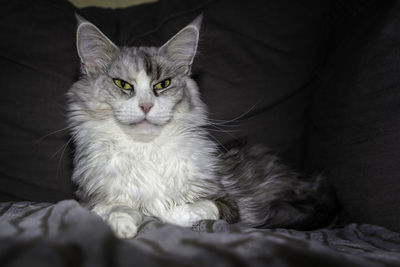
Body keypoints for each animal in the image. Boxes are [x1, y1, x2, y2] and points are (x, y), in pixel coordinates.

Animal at [67, 14, 336, 239]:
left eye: (162, 84)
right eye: (123, 84)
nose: (146, 105)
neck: (145, 149)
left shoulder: (227, 203)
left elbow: (177, 210)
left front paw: (154, 212)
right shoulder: (91, 197)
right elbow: (114, 208)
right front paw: (123, 224)